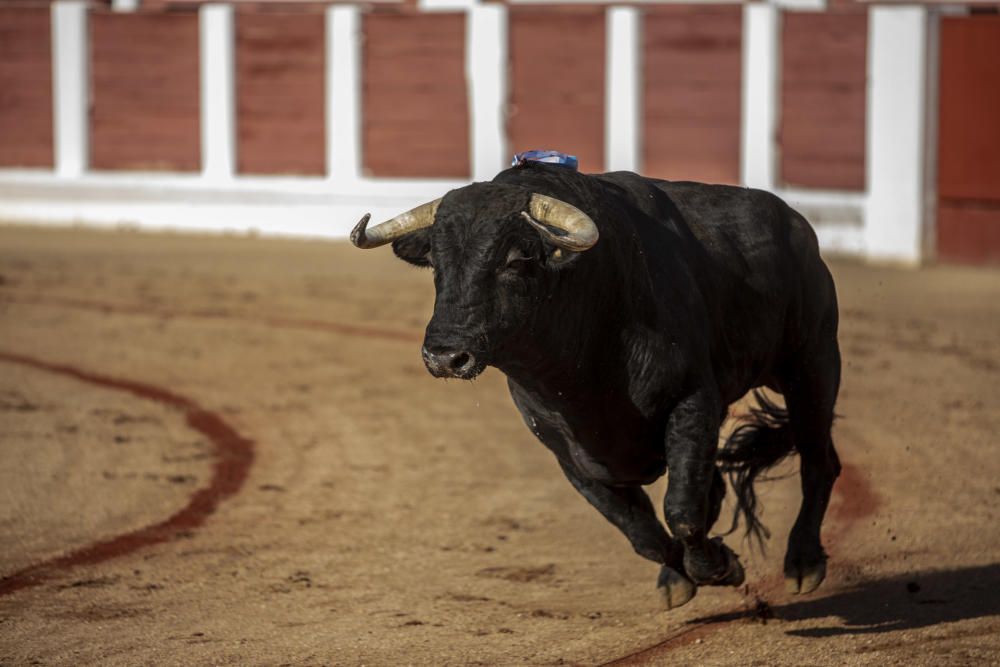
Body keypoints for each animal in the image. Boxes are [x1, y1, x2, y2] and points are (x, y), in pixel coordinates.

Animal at [352, 163, 844, 612]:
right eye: (436, 264)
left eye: (515, 261)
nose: (445, 356)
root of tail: (795, 224)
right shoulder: (570, 453)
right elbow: (641, 530)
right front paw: (677, 579)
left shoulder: (692, 403)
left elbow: (681, 510)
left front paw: (720, 566)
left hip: (813, 364)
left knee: (819, 461)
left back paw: (803, 564)